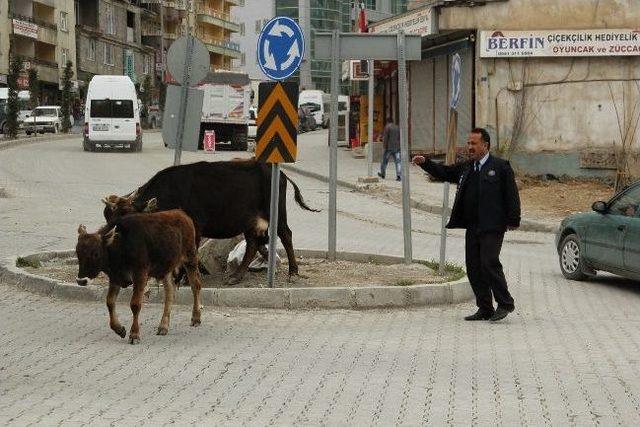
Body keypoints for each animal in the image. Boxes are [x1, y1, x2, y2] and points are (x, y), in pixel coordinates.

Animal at [77, 211, 202, 344]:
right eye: (78, 253)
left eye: (95, 253)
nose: (81, 280)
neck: (121, 244)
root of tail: (182, 214)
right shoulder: (115, 277)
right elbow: (110, 302)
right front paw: (119, 329)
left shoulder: (140, 274)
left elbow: (135, 304)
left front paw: (134, 334)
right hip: (166, 269)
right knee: (169, 292)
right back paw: (163, 326)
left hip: (190, 258)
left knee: (196, 285)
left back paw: (196, 318)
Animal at [103, 159, 320, 286]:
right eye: (109, 218)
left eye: (125, 220)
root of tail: (278, 172)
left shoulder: (195, 228)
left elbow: (189, 254)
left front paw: (182, 278)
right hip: (250, 222)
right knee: (253, 244)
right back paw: (236, 276)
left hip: (277, 214)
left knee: (285, 235)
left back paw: (293, 272)